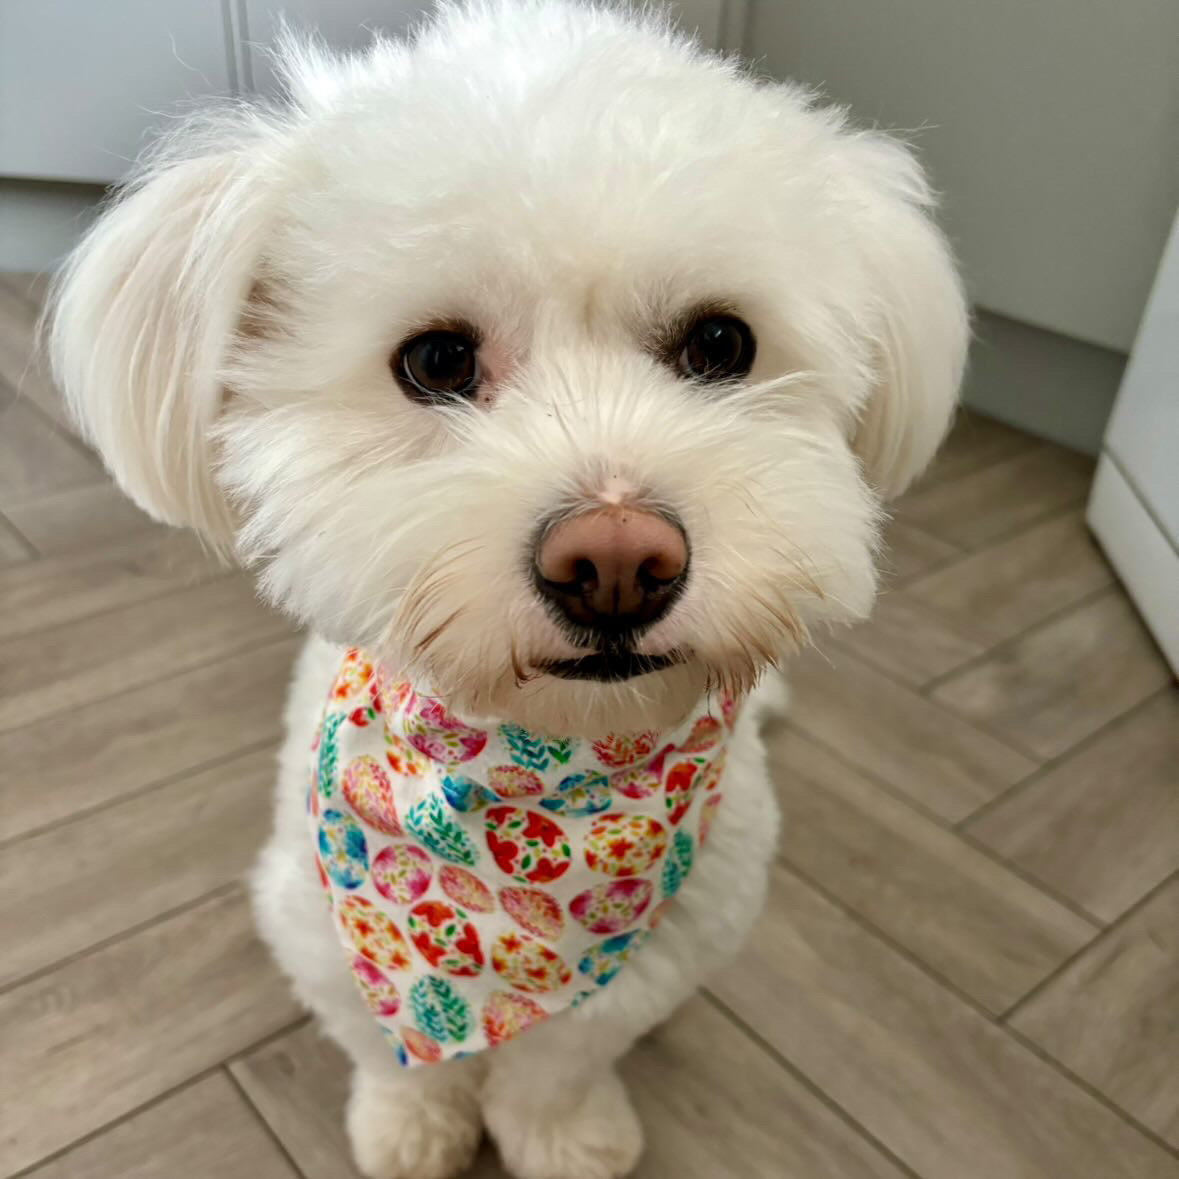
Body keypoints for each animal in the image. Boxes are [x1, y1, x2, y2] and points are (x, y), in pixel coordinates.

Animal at [48, 2, 966, 1179]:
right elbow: (381, 1045)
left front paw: (563, 1134)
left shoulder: (669, 947)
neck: (540, 786)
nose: (616, 563)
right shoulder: (315, 916)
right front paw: (409, 1125)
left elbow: (566, 1056)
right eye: (436, 361)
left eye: (721, 342)